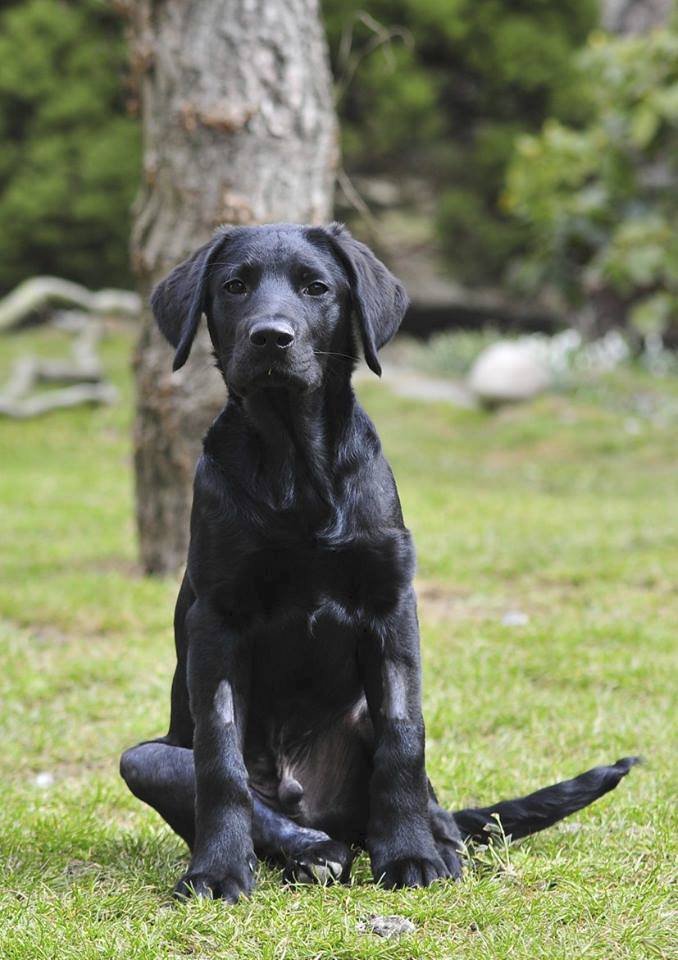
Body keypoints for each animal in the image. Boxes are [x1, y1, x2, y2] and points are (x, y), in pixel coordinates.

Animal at [121, 223, 636, 900]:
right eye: (234, 286)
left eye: (316, 288)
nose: (271, 337)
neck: (295, 469)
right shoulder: (217, 617)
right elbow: (220, 756)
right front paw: (218, 870)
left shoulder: (392, 604)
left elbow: (402, 738)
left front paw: (411, 856)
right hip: (147, 759)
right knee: (238, 797)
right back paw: (310, 851)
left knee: (428, 801)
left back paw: (433, 843)